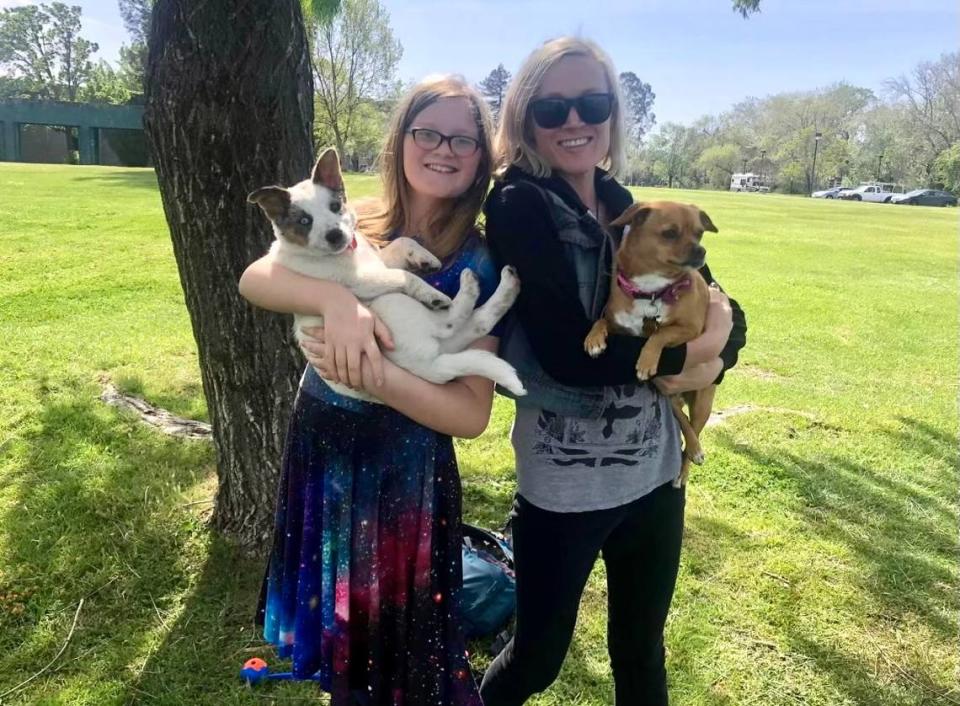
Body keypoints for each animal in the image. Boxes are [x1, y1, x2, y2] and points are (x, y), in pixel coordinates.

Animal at [249, 147, 524, 402]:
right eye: (305, 221)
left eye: (335, 206)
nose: (336, 235)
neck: (346, 254)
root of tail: (430, 367)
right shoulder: (361, 280)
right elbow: (404, 277)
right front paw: (430, 291)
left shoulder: (378, 261)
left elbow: (402, 242)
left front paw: (426, 258)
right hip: (392, 305)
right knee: (451, 322)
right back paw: (466, 288)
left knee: (478, 323)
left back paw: (507, 285)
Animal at [584, 198, 720, 484]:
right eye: (670, 233)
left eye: (699, 233)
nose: (701, 251)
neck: (652, 290)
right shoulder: (619, 324)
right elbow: (601, 321)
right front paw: (593, 340)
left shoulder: (691, 329)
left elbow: (660, 333)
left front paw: (646, 360)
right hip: (668, 395)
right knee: (682, 419)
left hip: (703, 401)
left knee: (694, 430)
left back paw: (690, 458)